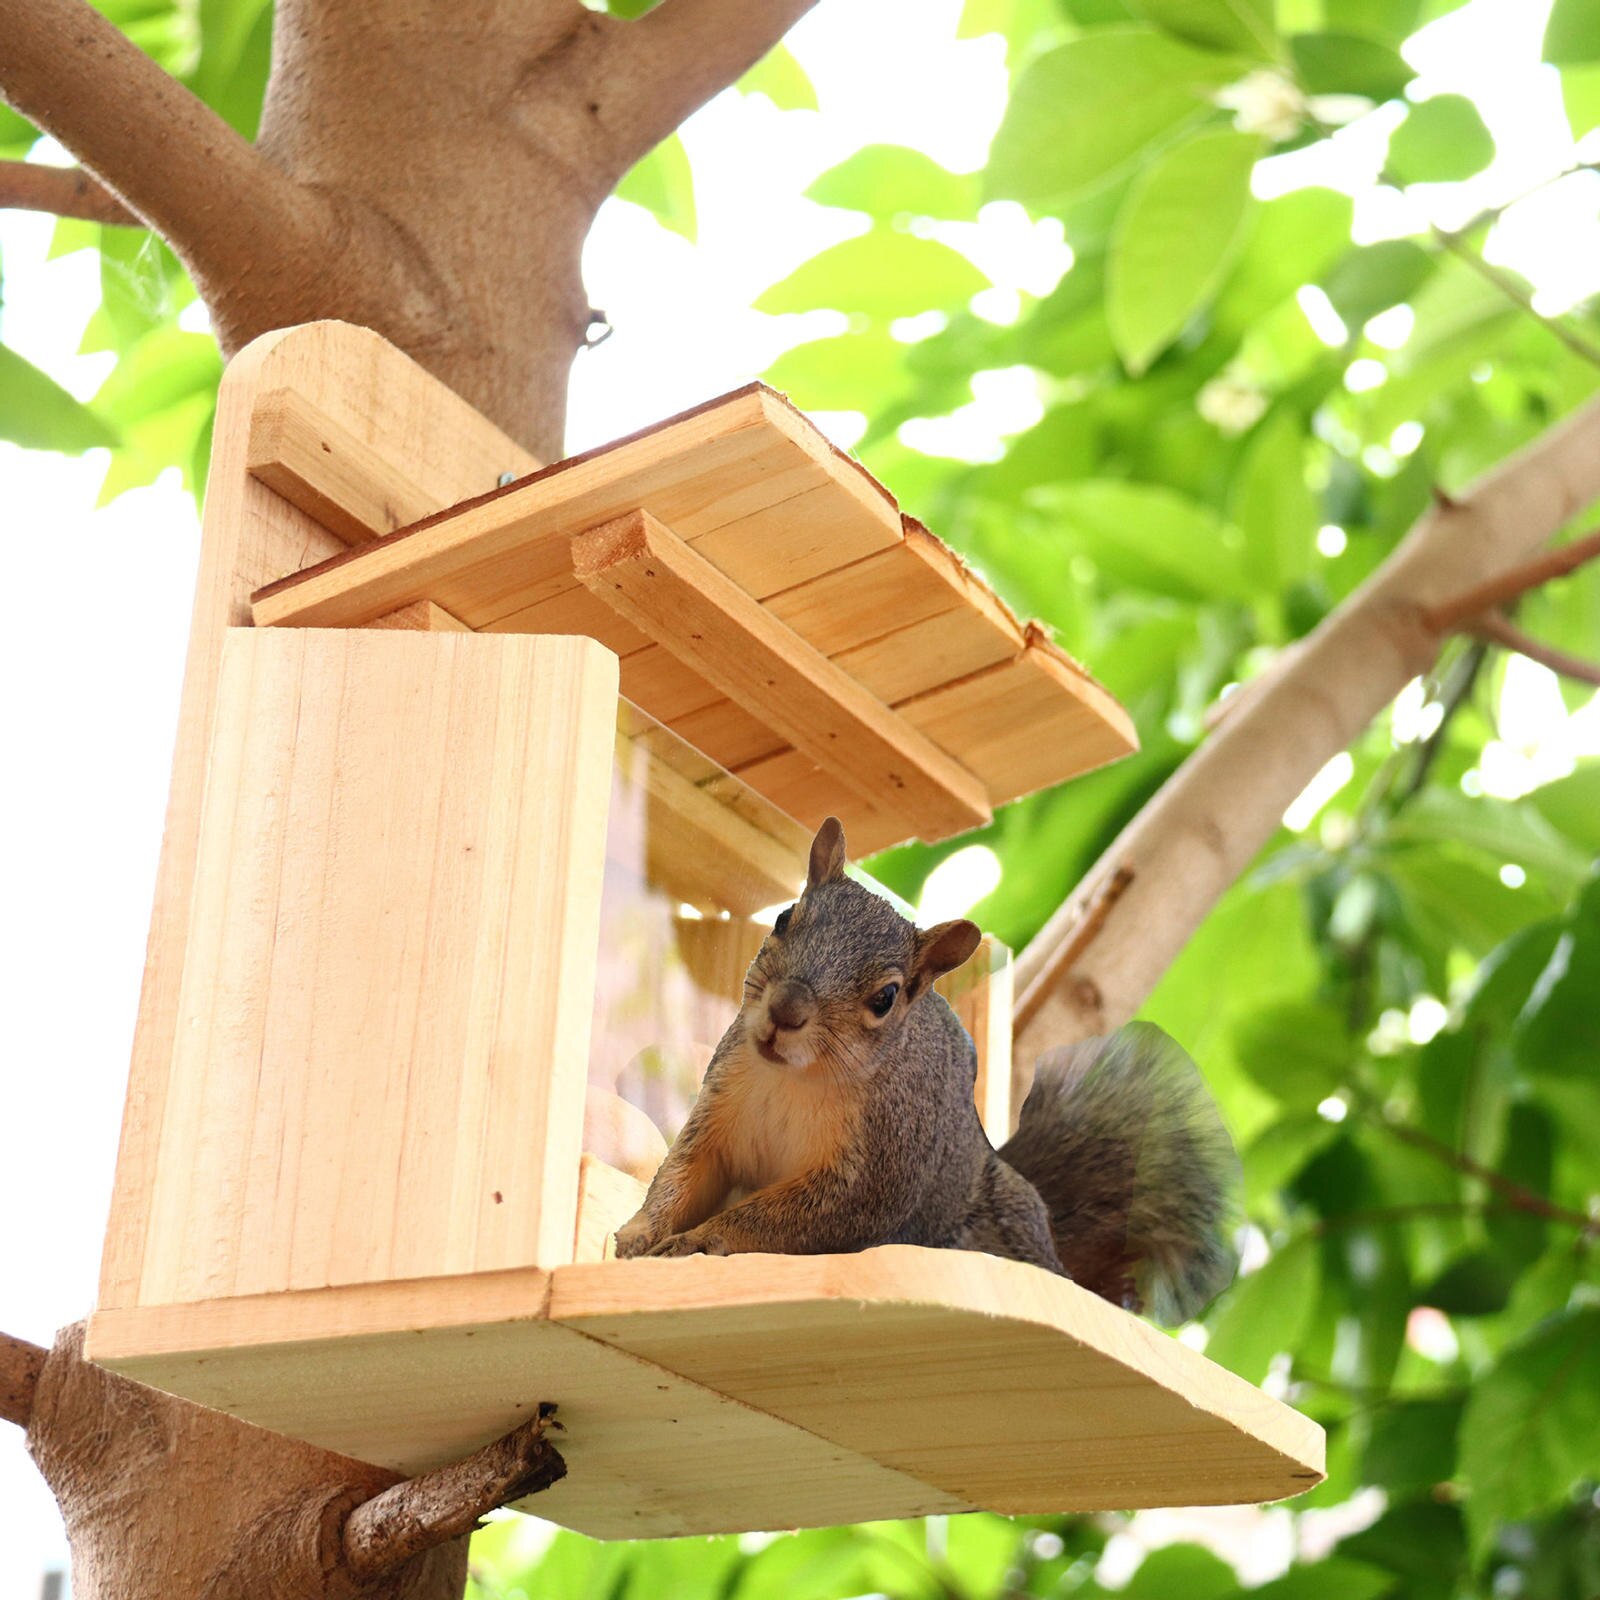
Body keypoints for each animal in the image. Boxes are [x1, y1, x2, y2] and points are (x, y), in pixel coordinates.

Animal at [615, 817, 1240, 1323]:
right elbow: (687, 1170)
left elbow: (779, 1220)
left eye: (886, 997)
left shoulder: (874, 1171)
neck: (797, 1078)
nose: (785, 1011)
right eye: (785, 919)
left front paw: (702, 1240)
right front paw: (641, 1229)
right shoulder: (725, 1101)